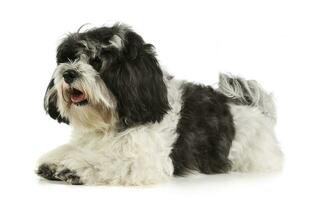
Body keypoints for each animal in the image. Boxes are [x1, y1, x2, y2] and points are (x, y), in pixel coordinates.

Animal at [36, 23, 282, 186]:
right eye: (70, 59)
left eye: (97, 61)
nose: (68, 73)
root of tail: (257, 109)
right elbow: (71, 148)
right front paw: (55, 161)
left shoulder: (144, 160)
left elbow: (107, 160)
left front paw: (72, 167)